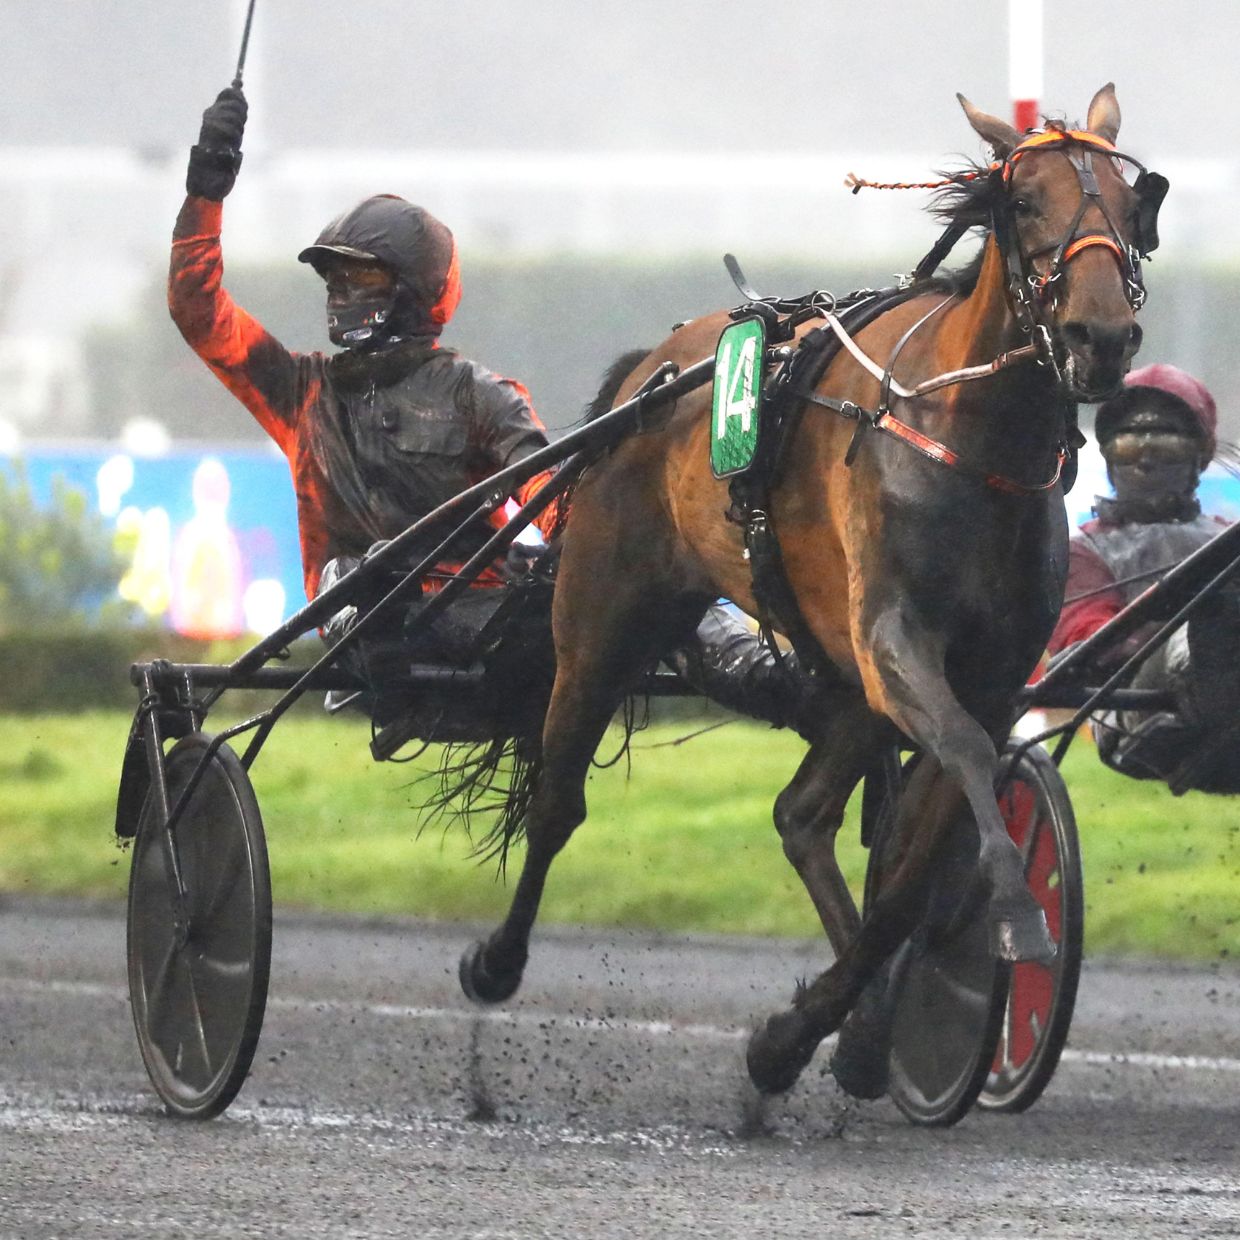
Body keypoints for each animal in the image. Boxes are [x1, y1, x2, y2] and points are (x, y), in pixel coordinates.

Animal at [457, 85, 1159, 1097]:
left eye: (1133, 201)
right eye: (1025, 201)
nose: (1099, 336)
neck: (974, 439)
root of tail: (657, 365)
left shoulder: (989, 676)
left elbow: (911, 869)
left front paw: (818, 1034)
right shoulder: (893, 636)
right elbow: (958, 758)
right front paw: (1013, 912)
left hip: (838, 672)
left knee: (802, 816)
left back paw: (850, 1030)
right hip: (606, 610)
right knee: (558, 795)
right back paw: (497, 960)